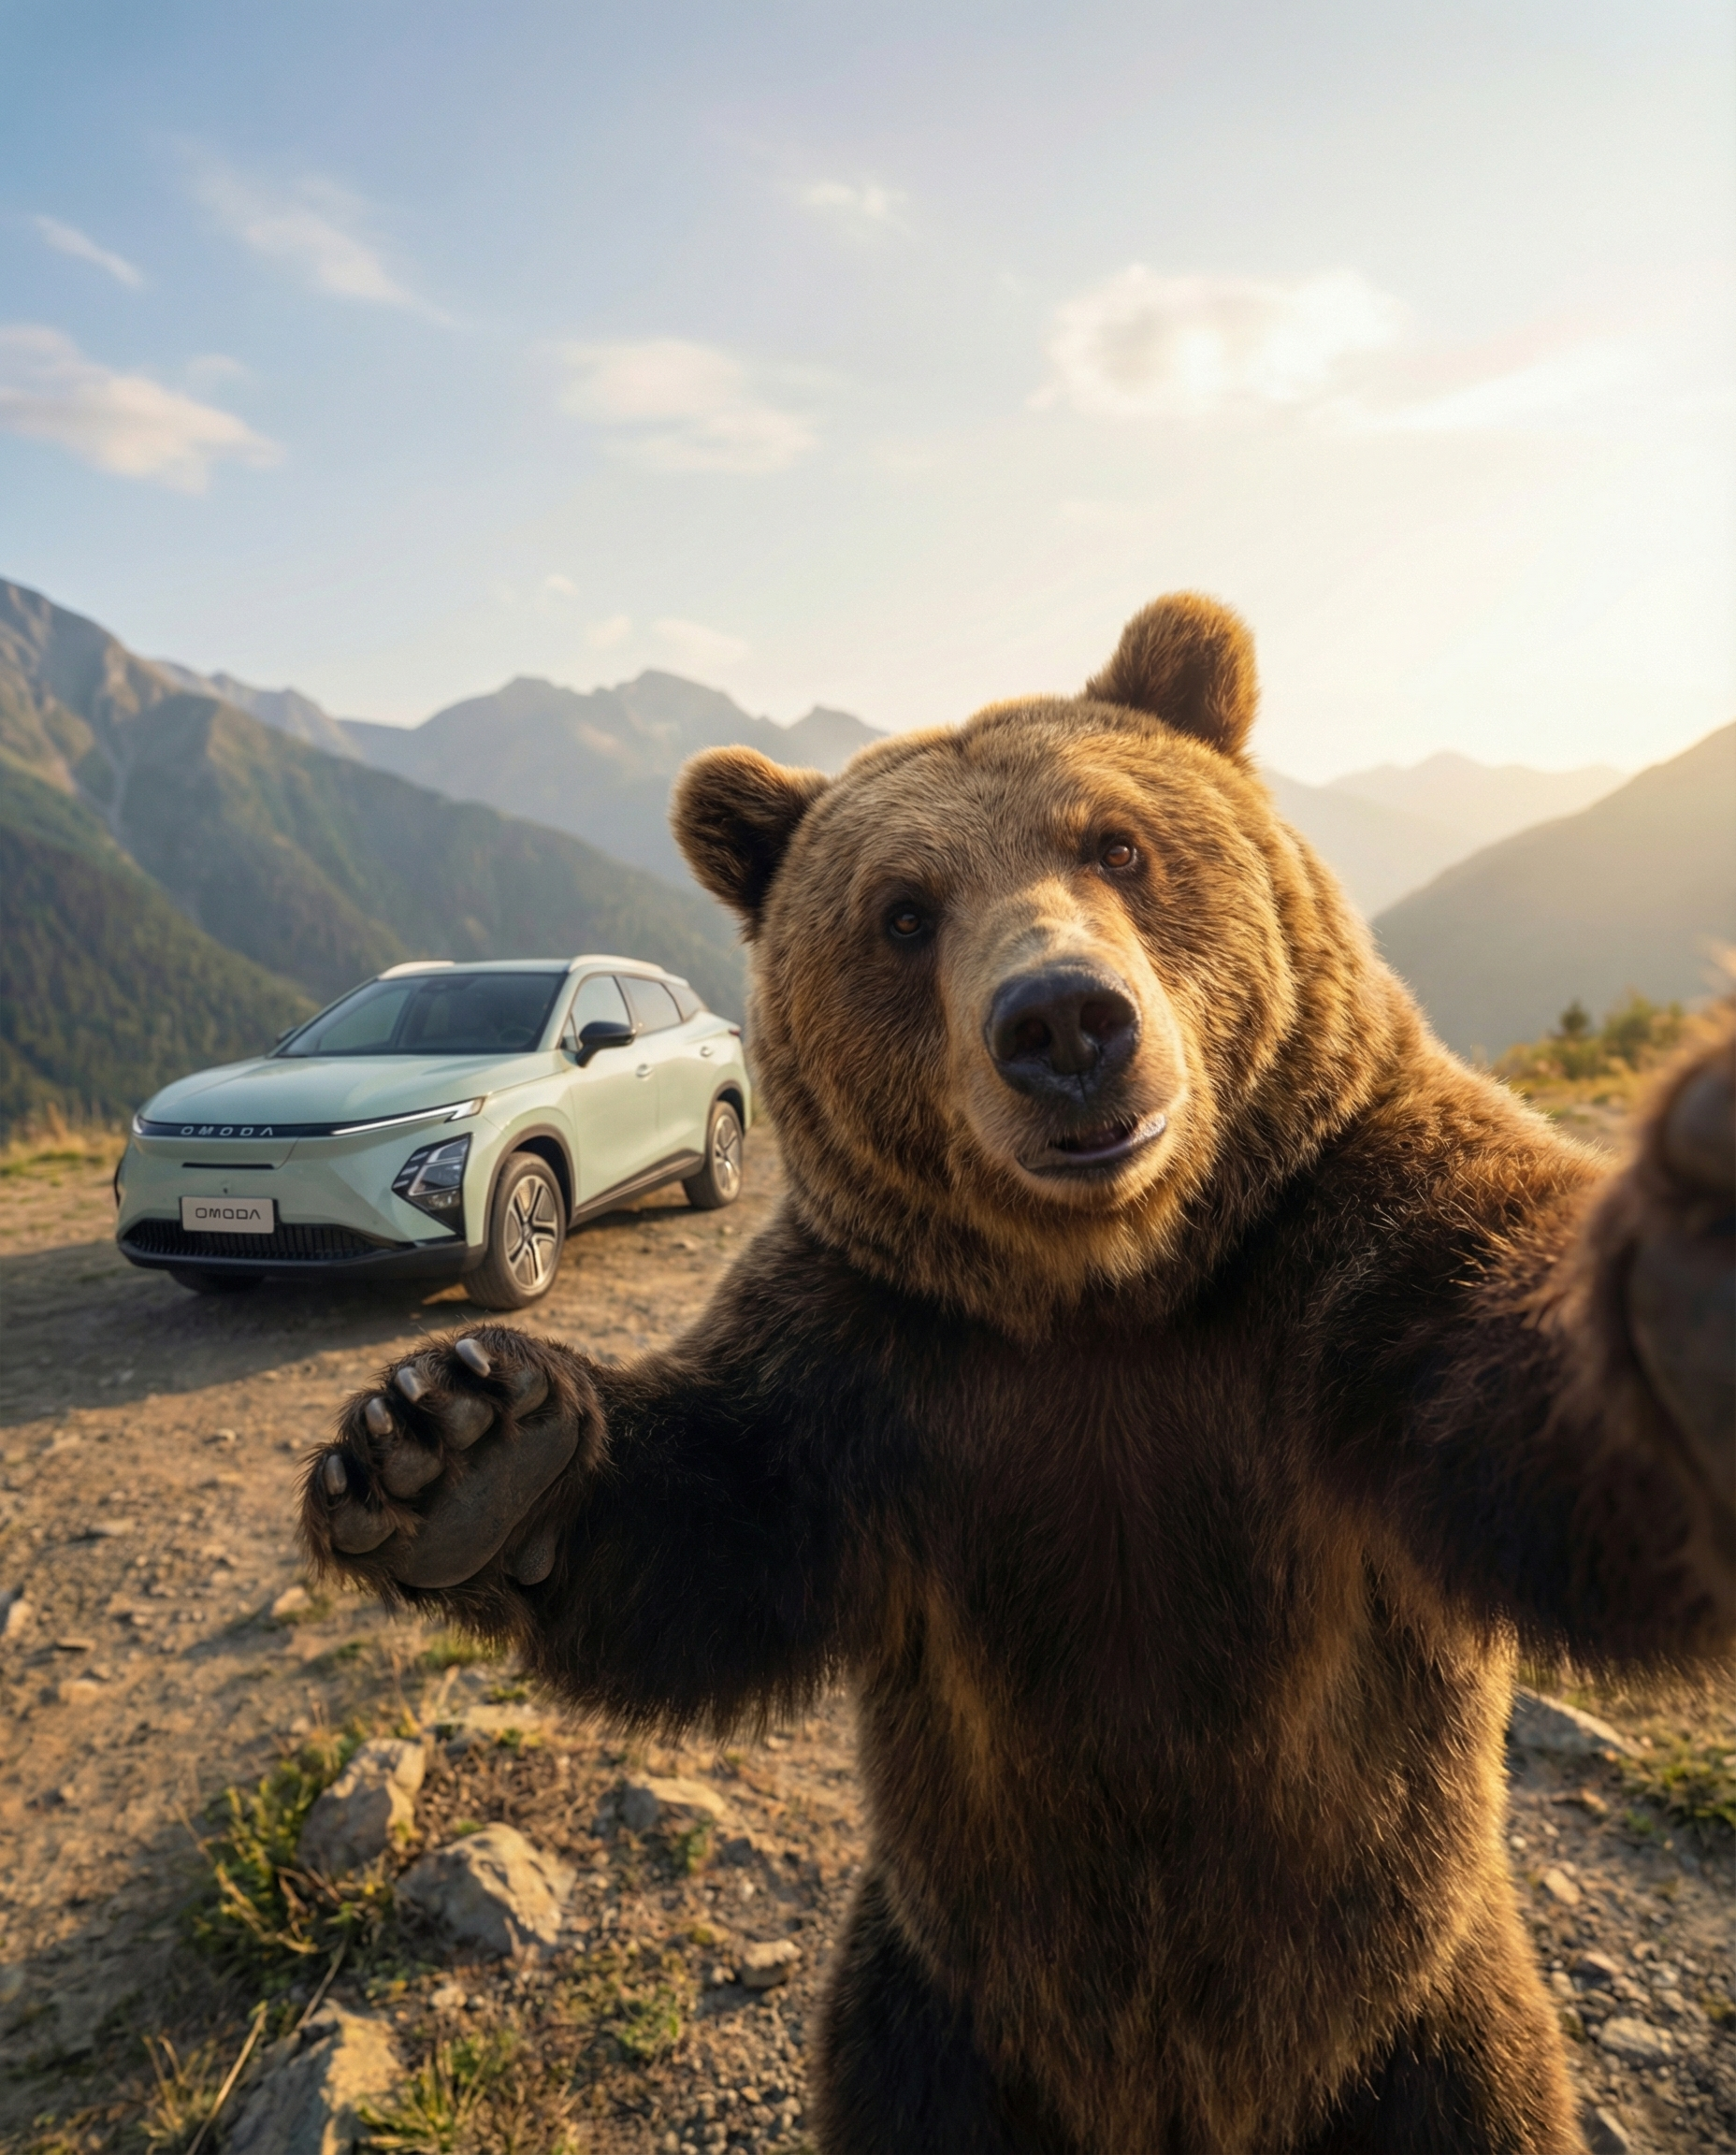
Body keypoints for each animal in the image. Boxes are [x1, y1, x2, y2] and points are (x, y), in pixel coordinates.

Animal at [301, 593, 1734, 2154]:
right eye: (903, 910)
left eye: (1116, 842)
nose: (1061, 1023)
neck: (1111, 1291)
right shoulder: (883, 1368)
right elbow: (714, 1534)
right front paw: (454, 1444)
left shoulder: (1340, 1262)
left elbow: (1528, 1424)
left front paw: (1689, 1281)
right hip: (943, 2005)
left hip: (1416, 2012)